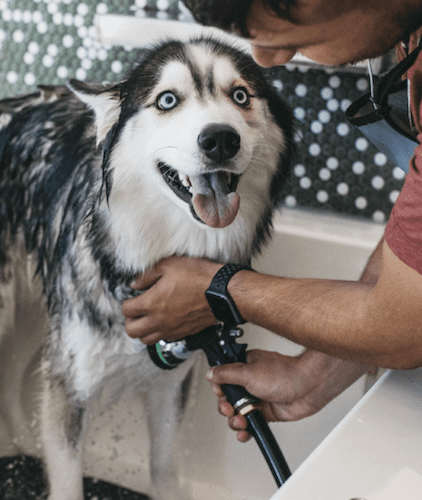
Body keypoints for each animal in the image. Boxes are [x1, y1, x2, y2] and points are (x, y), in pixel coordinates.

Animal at [0, 37, 294, 498]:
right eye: (167, 100)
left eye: (240, 95)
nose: (220, 139)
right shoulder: (68, 386)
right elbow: (67, 481)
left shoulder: (169, 385)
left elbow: (164, 469)